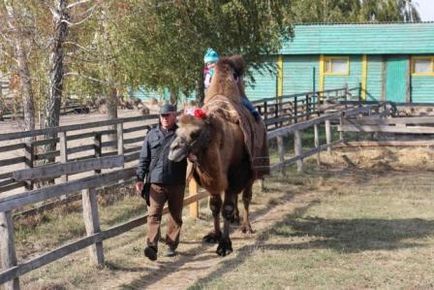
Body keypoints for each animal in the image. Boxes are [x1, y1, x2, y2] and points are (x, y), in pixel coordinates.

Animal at [169, 55, 268, 256]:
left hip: (252, 172)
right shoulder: (213, 178)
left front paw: (224, 245)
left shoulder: (237, 173)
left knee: (246, 197)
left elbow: (226, 208)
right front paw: (214, 235)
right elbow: (215, 206)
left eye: (196, 133)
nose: (174, 150)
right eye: (177, 129)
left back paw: (246, 226)